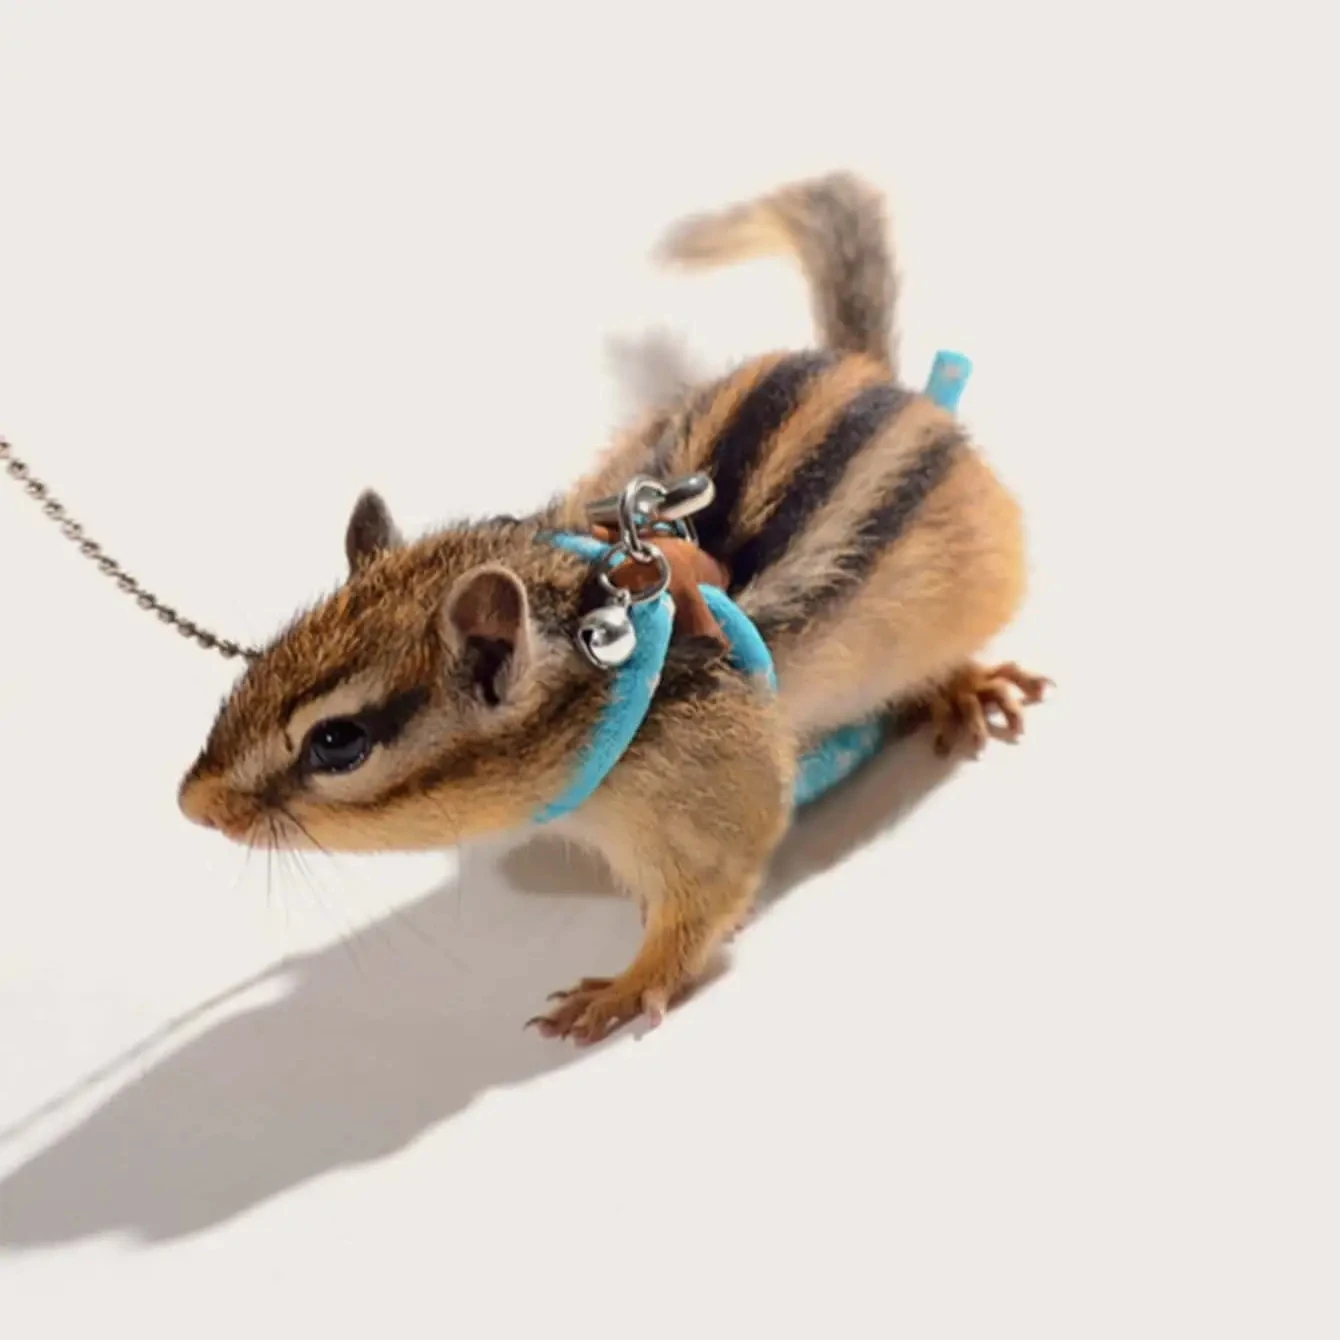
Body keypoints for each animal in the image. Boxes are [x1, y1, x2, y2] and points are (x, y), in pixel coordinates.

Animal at [179, 172, 1047, 1045]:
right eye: (263, 658)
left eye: (338, 742)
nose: (194, 804)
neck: (602, 656)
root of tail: (868, 367)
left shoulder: (712, 795)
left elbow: (709, 893)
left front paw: (627, 987)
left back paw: (963, 684)